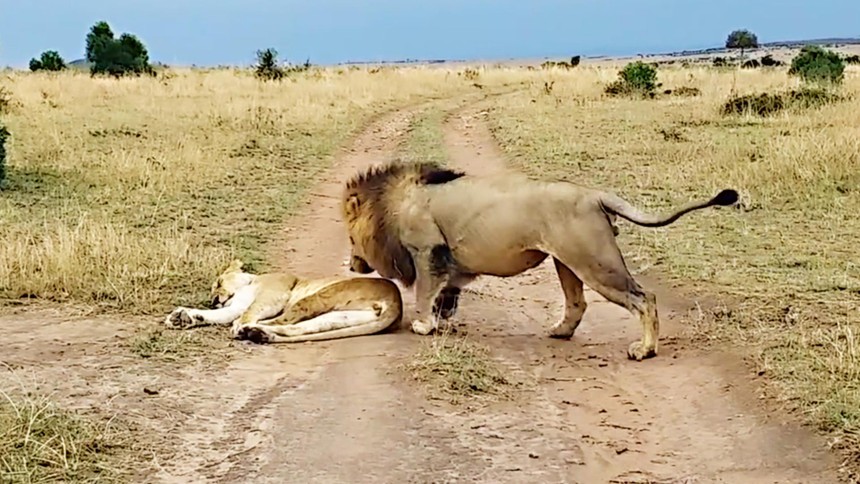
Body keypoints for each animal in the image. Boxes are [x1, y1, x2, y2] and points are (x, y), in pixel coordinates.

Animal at [164, 260, 404, 342]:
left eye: (219, 282)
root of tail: (396, 302)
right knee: (296, 327)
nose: (214, 299)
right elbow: (223, 314)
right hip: (340, 316)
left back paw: (248, 330)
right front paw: (184, 316)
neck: (251, 281)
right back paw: (258, 333)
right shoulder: (235, 305)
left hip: (321, 296)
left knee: (282, 320)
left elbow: (247, 312)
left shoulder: (274, 294)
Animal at [340, 161, 736, 362]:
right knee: (577, 303)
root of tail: (593, 194)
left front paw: (424, 325)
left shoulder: (427, 251)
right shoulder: (448, 260)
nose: (352, 266)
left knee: (644, 298)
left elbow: (424, 292)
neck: (392, 204)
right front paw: (443, 318)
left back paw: (645, 349)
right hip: (568, 261)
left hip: (594, 261)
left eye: (350, 238)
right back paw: (560, 331)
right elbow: (446, 294)